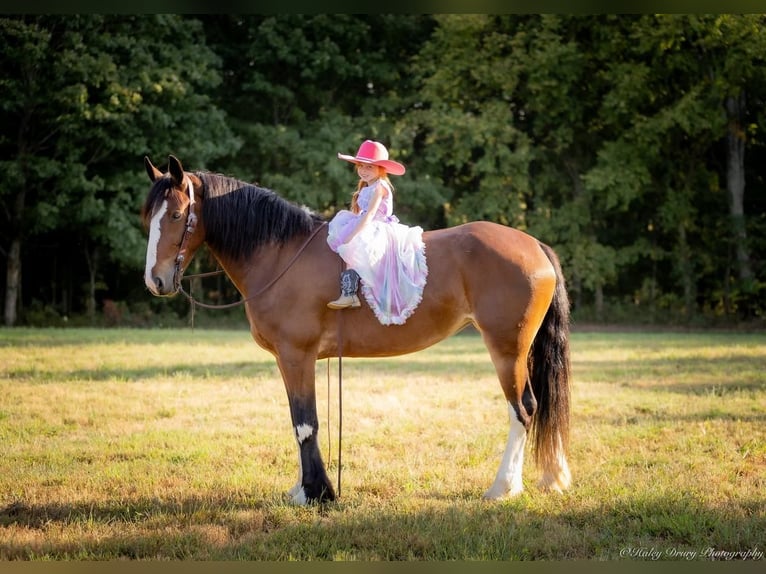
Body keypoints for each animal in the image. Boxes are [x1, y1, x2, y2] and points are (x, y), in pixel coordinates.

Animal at [141, 155, 572, 506]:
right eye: (149, 219)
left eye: (176, 216)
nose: (155, 280)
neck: (280, 253)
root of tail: (534, 245)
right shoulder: (287, 360)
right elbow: (299, 422)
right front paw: (305, 488)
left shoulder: (297, 356)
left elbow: (305, 424)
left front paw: (316, 493)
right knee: (534, 407)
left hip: (506, 349)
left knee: (523, 409)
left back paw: (503, 488)